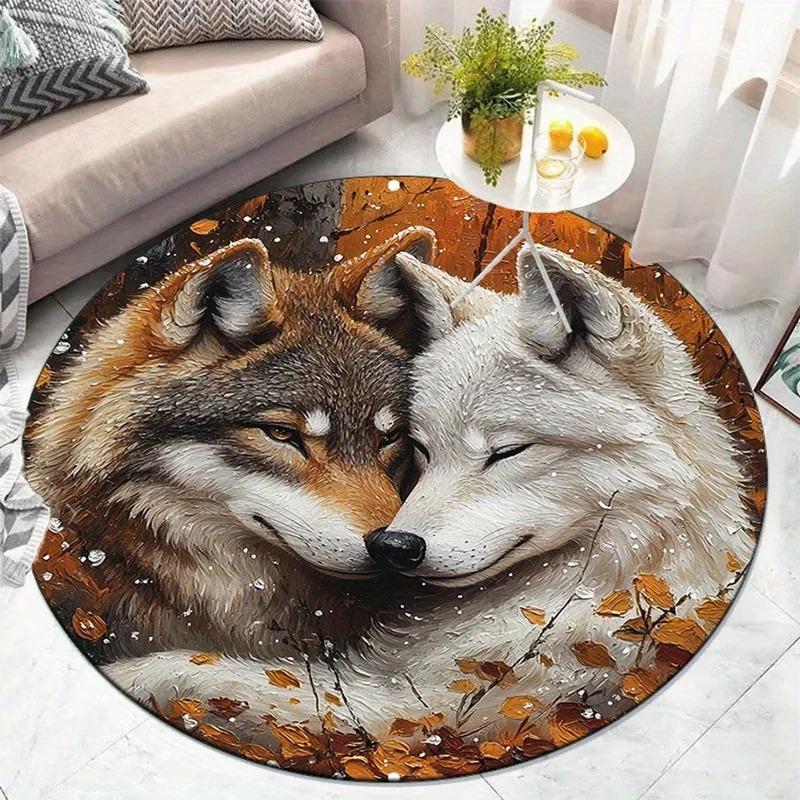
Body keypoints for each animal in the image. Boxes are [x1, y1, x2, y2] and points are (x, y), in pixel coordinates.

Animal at [93, 243, 754, 746]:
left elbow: (217, 675)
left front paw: (130, 674)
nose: (396, 547)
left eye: (506, 452)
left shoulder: (426, 713)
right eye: (422, 449)